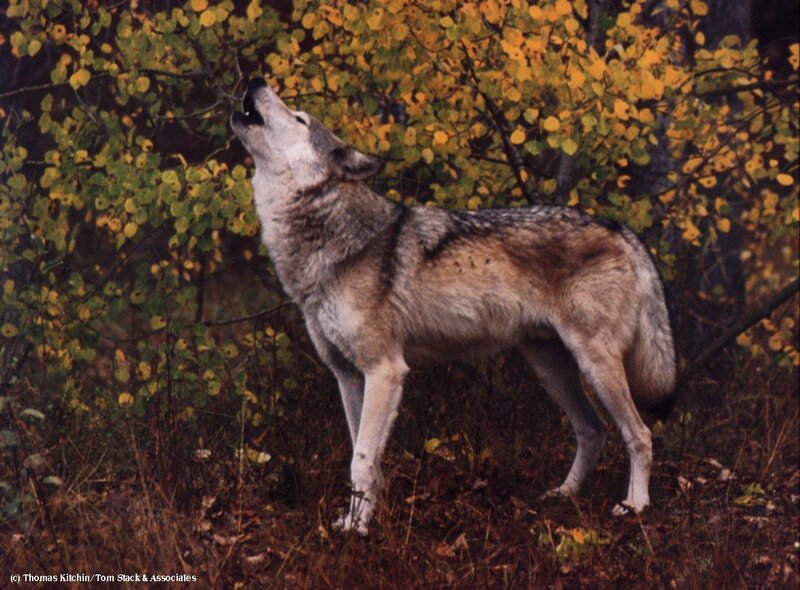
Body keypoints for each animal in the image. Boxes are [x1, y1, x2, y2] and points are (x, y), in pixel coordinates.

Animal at [231, 78, 676, 535]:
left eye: (300, 118)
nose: (256, 80)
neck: (330, 243)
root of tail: (621, 229)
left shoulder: (385, 371)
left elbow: (361, 460)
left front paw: (361, 531)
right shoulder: (348, 377)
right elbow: (360, 457)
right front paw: (352, 521)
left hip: (595, 362)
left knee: (640, 434)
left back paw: (635, 505)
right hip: (552, 370)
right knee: (593, 430)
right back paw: (564, 493)